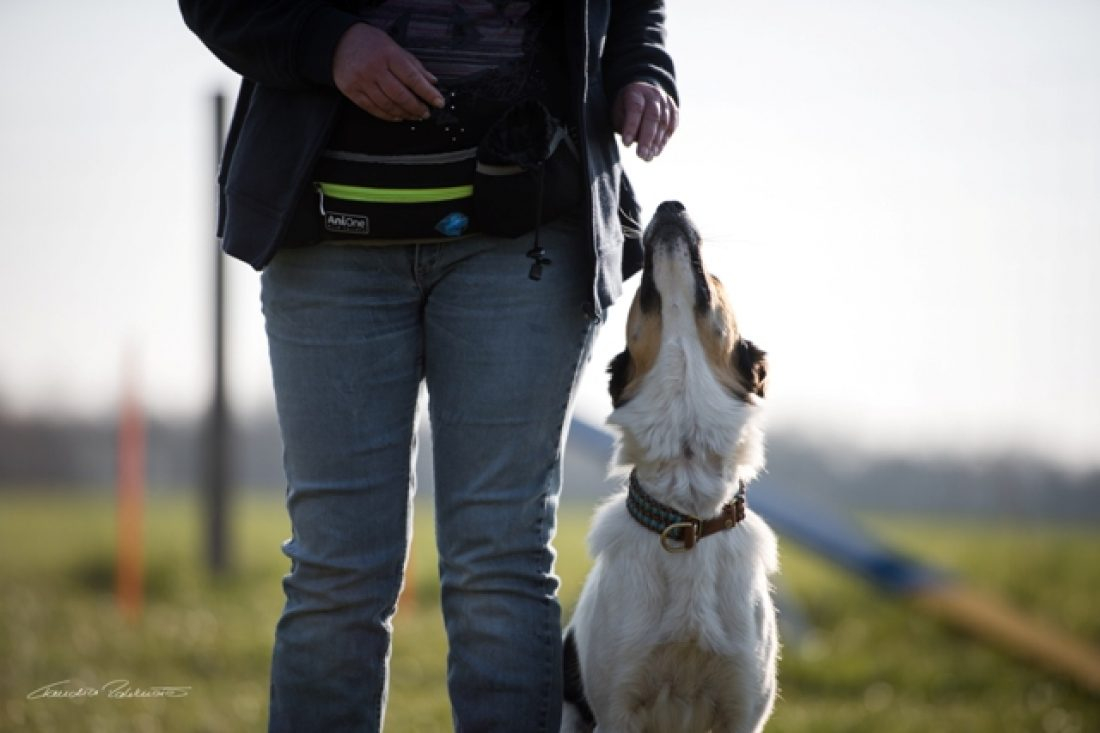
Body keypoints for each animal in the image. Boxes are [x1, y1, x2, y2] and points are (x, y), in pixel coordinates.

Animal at [563, 201, 778, 730]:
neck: (688, 518)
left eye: (714, 278)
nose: (669, 205)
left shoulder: (744, 708)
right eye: (641, 292)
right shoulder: (618, 706)